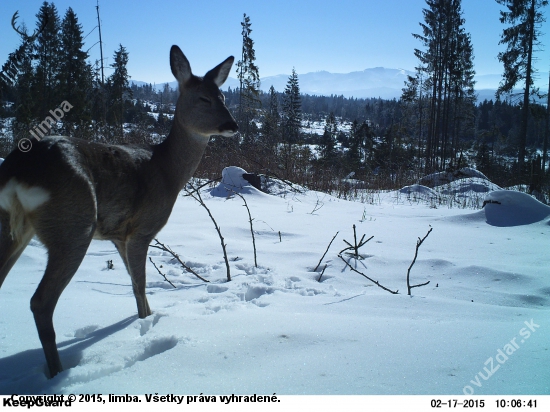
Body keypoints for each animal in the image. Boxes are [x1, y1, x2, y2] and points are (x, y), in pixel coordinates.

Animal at [0, 45, 239, 380]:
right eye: (203, 98)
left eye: (224, 97)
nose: (233, 125)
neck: (168, 172)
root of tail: (18, 169)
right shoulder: (142, 229)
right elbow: (140, 284)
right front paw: (146, 325)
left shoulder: (117, 235)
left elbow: (133, 282)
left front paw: (146, 320)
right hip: (73, 224)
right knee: (41, 302)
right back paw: (58, 373)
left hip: (11, 225)